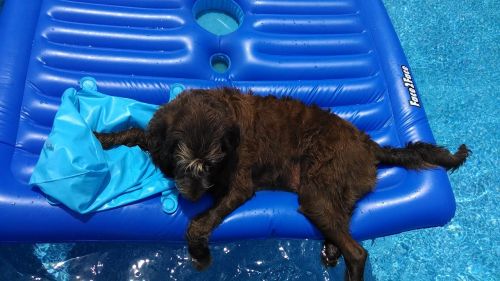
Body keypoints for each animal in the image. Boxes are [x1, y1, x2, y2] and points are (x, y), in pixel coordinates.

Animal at [94, 87, 468, 278]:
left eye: (210, 166)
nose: (193, 196)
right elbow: (138, 133)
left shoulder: (239, 184)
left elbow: (200, 225)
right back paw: (331, 248)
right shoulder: (161, 134)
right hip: (334, 194)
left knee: (358, 252)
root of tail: (370, 145)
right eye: (183, 165)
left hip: (316, 193)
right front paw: (104, 139)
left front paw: (200, 254)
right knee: (343, 226)